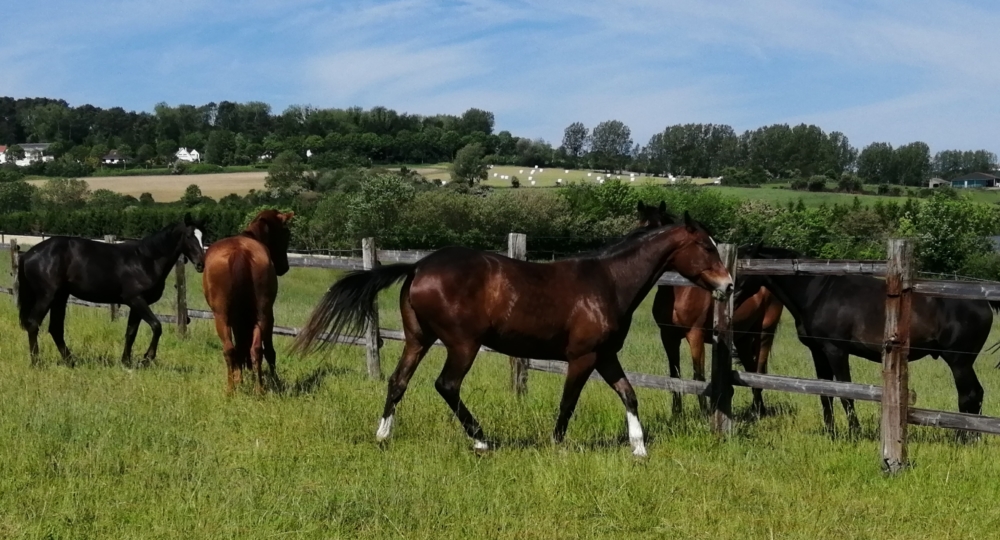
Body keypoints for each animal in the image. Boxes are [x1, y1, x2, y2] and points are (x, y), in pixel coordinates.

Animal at [16, 215, 207, 368]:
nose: (201, 264)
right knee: (33, 324)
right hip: (46, 296)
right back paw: (37, 363)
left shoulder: (136, 304)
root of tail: (28, 254)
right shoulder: (136, 300)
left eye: (203, 237)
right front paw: (146, 359)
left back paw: (70, 361)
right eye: (189, 236)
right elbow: (156, 326)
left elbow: (131, 333)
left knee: (55, 328)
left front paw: (126, 362)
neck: (146, 260)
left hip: (60, 297)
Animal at [292, 213, 732, 458]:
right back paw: (481, 440)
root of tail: (417, 267)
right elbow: (568, 403)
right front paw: (557, 445)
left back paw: (383, 435)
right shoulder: (583, 357)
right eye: (707, 247)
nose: (727, 286)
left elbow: (629, 394)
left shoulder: (605, 355)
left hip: (419, 340)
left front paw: (639, 448)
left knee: (398, 381)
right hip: (462, 345)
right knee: (446, 385)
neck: (606, 282)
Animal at [636, 200, 784, 416]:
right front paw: (677, 414)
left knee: (759, 371)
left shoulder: (695, 335)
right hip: (743, 337)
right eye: (639, 227)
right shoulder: (668, 336)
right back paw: (758, 410)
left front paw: (704, 413)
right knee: (751, 369)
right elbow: (674, 375)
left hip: (764, 333)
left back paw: (758, 411)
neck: (680, 290)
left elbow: (698, 376)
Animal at [740, 245, 996, 430]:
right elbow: (825, 392)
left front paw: (854, 432)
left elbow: (846, 393)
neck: (818, 292)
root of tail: (983, 302)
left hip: (959, 362)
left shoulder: (836, 351)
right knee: (976, 395)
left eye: (742, 268)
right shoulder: (818, 352)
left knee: (969, 395)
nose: (731, 294)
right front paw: (830, 432)